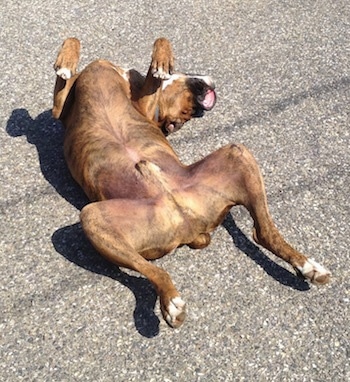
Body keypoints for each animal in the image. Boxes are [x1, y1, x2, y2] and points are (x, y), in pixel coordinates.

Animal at [52, 37, 330, 326]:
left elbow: (153, 44)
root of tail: (192, 227)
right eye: (185, 113)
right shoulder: (65, 110)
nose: (206, 100)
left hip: (231, 157)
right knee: (257, 235)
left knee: (261, 233)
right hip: (98, 217)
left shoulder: (85, 107)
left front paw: (160, 61)